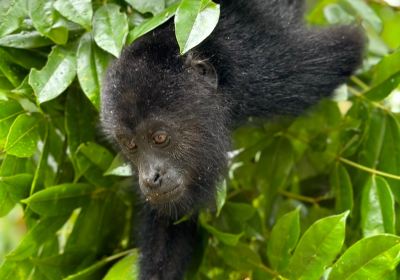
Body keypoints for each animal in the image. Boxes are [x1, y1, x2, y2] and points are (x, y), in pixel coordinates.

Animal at [99, 0, 362, 280]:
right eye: (131, 145)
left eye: (159, 138)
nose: (151, 178)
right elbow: (167, 220)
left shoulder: (268, 74)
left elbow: (350, 42)